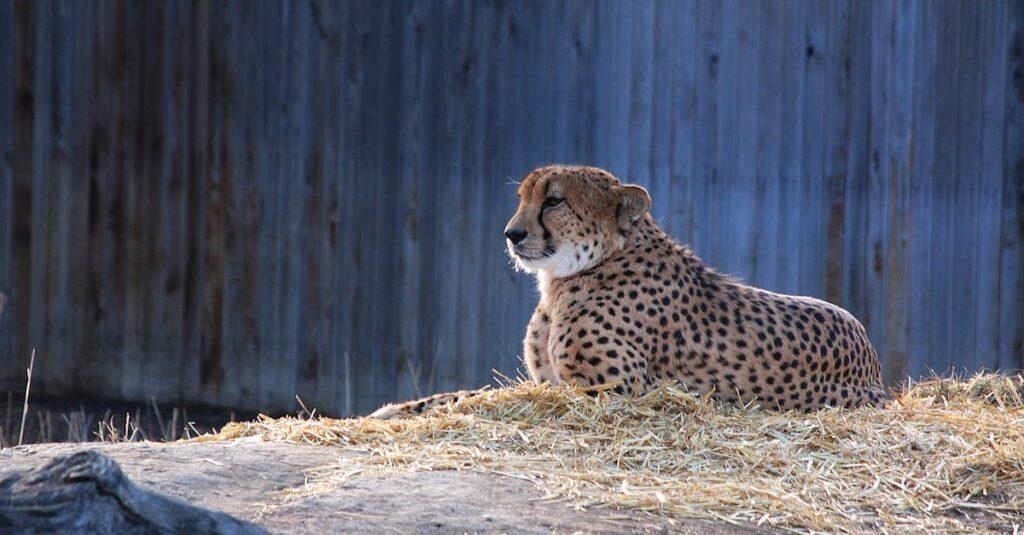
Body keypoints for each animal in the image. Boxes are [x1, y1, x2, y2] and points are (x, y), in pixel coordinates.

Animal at [370, 162, 888, 416]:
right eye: (523, 198)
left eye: (553, 200)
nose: (511, 234)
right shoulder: (553, 381)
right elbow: (470, 390)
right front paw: (397, 408)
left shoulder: (612, 391)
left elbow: (490, 398)